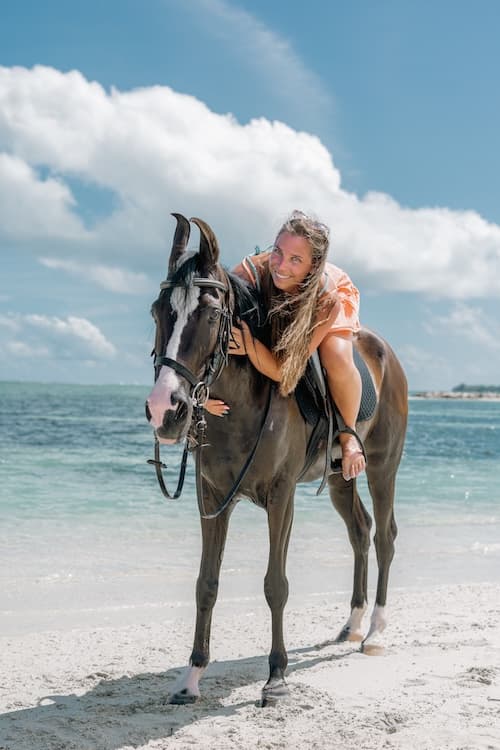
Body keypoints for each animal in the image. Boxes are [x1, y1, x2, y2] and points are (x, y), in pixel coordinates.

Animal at [145, 214, 408, 706]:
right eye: (157, 310)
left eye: (211, 315)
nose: (164, 410)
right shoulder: (211, 497)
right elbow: (205, 584)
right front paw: (191, 677)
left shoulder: (281, 498)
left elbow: (275, 585)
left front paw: (277, 677)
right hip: (341, 478)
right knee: (360, 531)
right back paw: (353, 624)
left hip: (384, 467)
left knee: (384, 535)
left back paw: (376, 632)